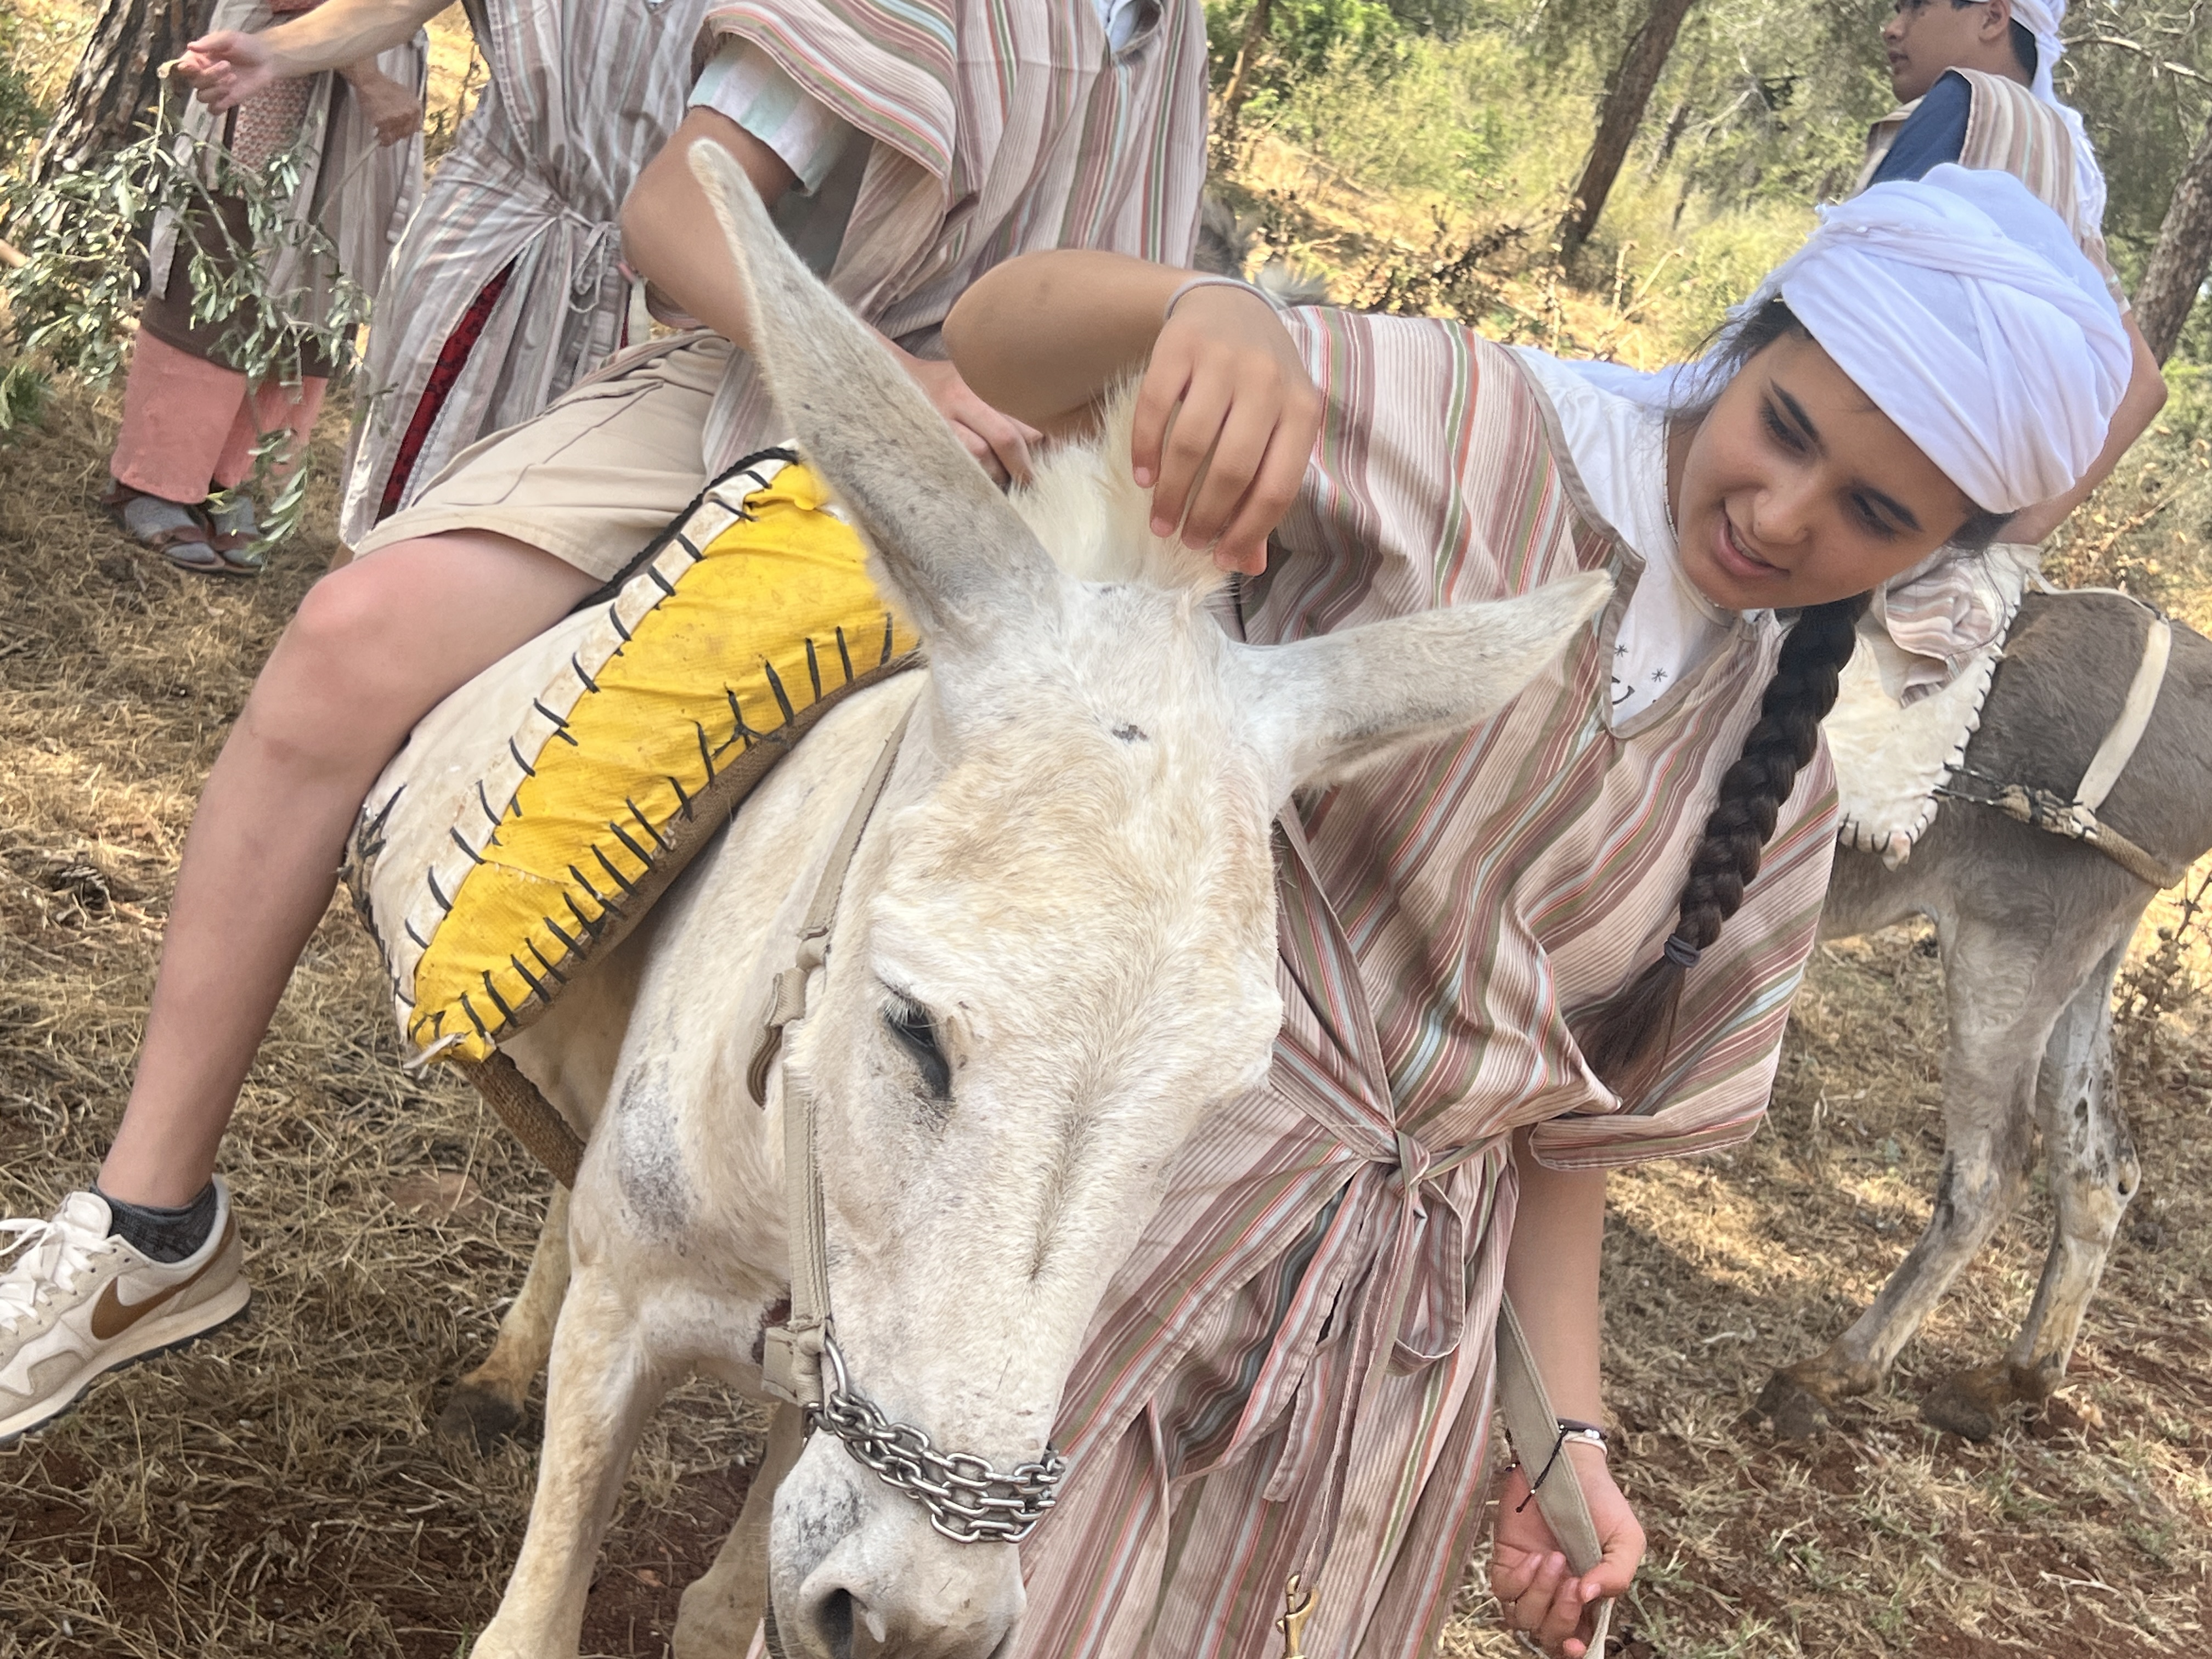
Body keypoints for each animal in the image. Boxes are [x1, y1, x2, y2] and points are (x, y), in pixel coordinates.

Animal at [443, 141, 1607, 1659]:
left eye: (1217, 1109)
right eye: (910, 1029)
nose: (922, 1621)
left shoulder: (827, 1412)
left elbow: (733, 1599)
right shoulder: (629, 1317)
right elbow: (537, 1604)